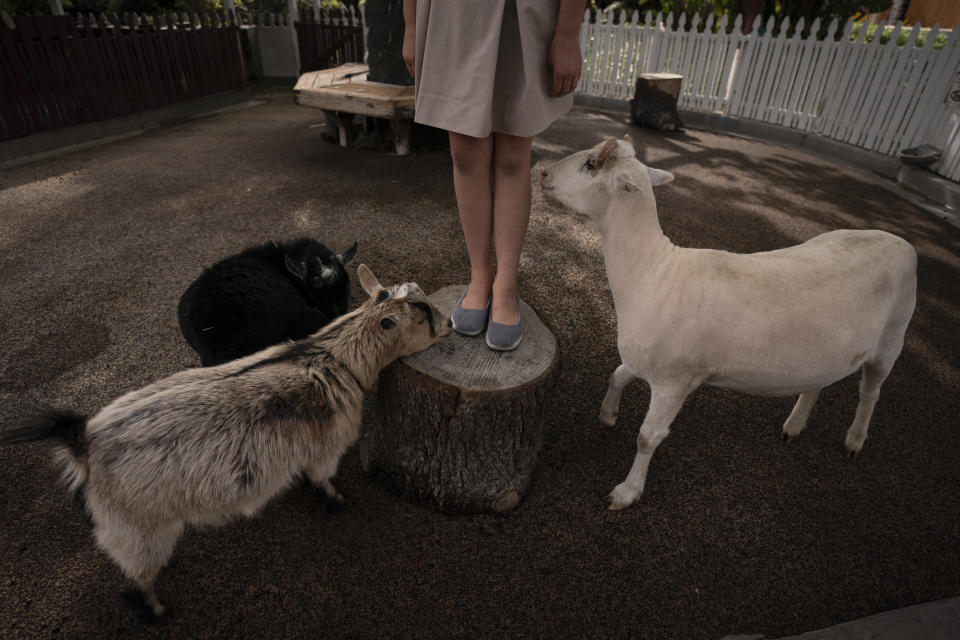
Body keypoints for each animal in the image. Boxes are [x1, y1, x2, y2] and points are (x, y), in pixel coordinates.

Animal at [0, 264, 450, 620]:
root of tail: (83, 441)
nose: (450, 325)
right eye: (422, 315)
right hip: (137, 526)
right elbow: (323, 477)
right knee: (135, 582)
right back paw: (156, 613)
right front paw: (334, 501)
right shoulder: (327, 445)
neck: (334, 357)